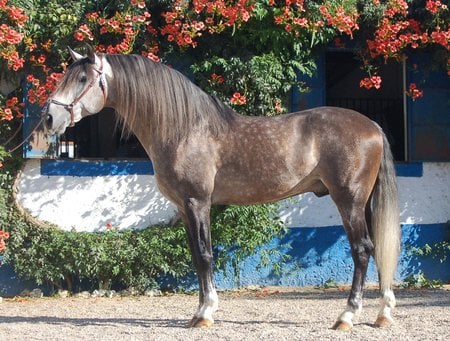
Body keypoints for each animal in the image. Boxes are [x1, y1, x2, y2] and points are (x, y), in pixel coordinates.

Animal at [44, 45, 400, 330]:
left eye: (81, 79)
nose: (49, 118)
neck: (184, 130)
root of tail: (372, 125)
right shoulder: (183, 207)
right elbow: (196, 255)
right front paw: (199, 311)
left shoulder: (197, 202)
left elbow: (204, 255)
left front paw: (205, 314)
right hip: (364, 203)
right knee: (377, 248)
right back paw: (382, 314)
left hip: (349, 201)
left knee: (362, 250)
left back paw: (347, 316)